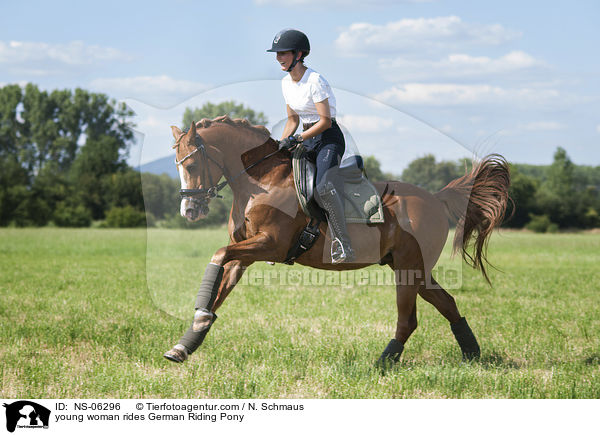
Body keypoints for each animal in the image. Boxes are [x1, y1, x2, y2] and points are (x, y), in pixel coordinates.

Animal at [165, 116, 510, 368]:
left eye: (191, 165)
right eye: (177, 165)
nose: (189, 211)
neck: (260, 182)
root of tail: (436, 199)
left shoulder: (271, 244)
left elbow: (218, 254)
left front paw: (198, 317)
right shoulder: (246, 254)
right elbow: (220, 287)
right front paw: (187, 341)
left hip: (408, 270)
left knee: (408, 320)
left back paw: (382, 362)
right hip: (416, 270)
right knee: (447, 303)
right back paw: (471, 355)